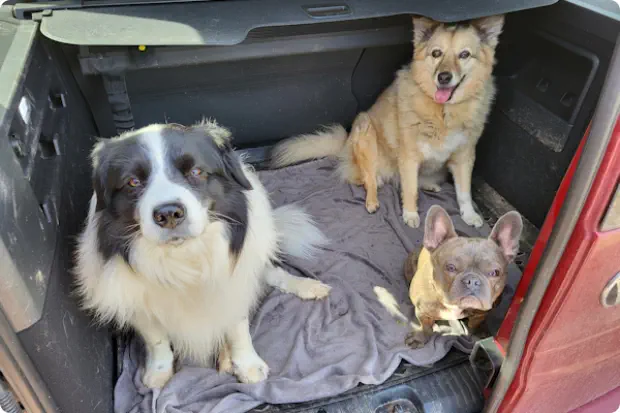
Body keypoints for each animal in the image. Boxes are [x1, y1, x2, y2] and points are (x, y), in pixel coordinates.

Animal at [75, 120, 332, 389]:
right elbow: (157, 340)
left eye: (196, 171)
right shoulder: (137, 304)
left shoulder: (235, 285)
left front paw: (247, 364)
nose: (168, 214)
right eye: (133, 182)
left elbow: (238, 328)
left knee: (273, 273)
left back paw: (308, 286)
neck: (185, 258)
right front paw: (158, 372)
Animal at [270, 15, 504, 229]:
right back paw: (372, 199)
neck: (444, 112)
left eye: (464, 55)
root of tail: (345, 145)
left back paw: (429, 185)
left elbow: (464, 191)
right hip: (366, 131)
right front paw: (410, 214)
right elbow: (409, 189)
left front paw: (469, 215)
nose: (444, 77)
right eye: (436, 53)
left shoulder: (465, 155)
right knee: (368, 179)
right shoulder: (409, 156)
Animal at [404, 205, 522, 348]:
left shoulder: (480, 314)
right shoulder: (422, 310)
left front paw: (476, 331)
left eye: (495, 272)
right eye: (450, 267)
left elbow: (474, 324)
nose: (473, 281)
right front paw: (420, 337)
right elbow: (425, 326)